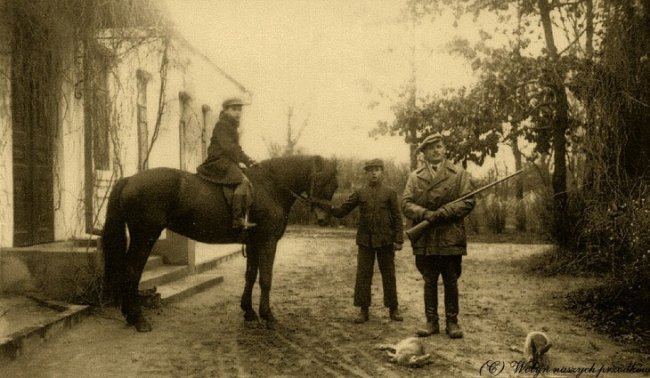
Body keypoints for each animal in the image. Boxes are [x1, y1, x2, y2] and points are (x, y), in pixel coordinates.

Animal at [103, 154, 336, 330]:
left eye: (334, 185)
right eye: (320, 181)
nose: (324, 219)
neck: (271, 186)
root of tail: (130, 179)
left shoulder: (253, 244)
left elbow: (251, 276)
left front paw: (249, 312)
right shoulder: (267, 242)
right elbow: (266, 279)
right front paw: (268, 315)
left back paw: (130, 315)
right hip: (145, 236)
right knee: (132, 271)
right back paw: (139, 319)